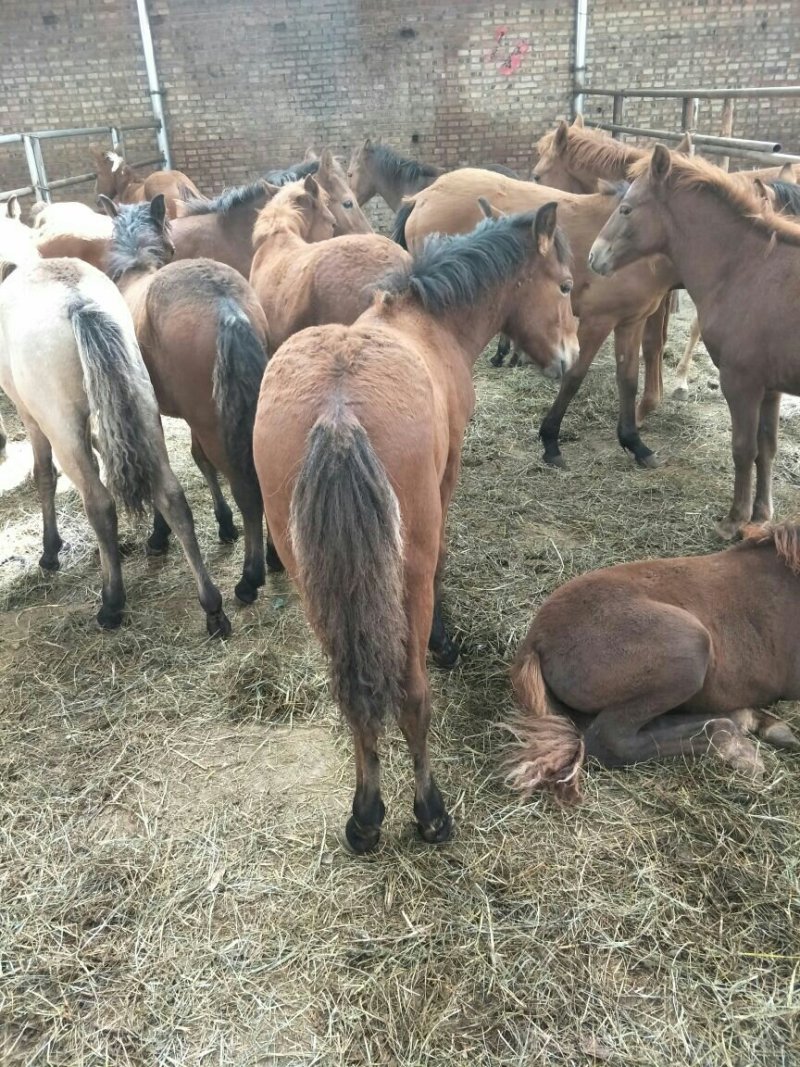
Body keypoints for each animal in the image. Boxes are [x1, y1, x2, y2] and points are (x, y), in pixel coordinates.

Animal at [0, 214, 231, 636]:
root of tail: (79, 304)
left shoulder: (34, 419)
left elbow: (44, 475)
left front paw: (51, 550)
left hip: (63, 426)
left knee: (99, 502)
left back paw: (111, 602)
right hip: (142, 406)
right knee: (171, 495)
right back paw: (211, 605)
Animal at [102, 193, 275, 604]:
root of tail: (227, 306)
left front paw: (159, 534)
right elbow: (200, 461)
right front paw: (224, 524)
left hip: (214, 425)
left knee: (247, 490)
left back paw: (250, 577)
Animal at [252, 203, 578, 852]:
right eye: (564, 286)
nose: (570, 357)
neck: (427, 321)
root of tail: (338, 414)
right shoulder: (447, 480)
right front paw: (445, 639)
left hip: (314, 587)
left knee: (353, 698)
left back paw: (365, 816)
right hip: (406, 577)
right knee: (412, 697)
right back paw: (429, 812)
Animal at [395, 167, 679, 467]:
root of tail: (421, 197)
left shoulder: (631, 321)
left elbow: (628, 379)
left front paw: (635, 442)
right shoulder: (598, 320)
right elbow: (574, 377)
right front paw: (551, 440)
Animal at [588, 145, 800, 538]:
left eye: (626, 209)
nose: (594, 256)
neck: (749, 269)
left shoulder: (741, 382)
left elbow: (743, 448)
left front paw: (734, 520)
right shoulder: (771, 387)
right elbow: (767, 447)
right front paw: (761, 514)